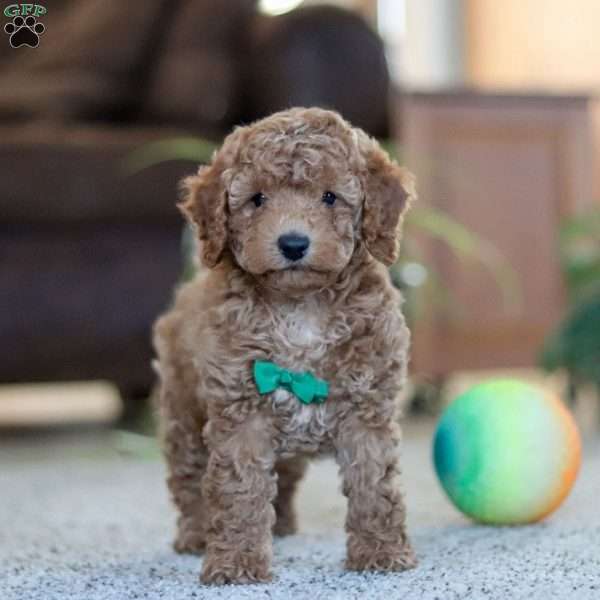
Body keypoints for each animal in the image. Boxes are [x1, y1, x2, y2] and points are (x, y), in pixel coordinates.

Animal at [154, 105, 418, 584]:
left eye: (330, 197)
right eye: (257, 199)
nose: (293, 243)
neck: (301, 309)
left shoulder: (368, 408)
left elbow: (375, 486)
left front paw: (381, 553)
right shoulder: (241, 413)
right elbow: (239, 490)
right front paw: (236, 563)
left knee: (285, 478)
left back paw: (283, 525)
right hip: (183, 410)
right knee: (188, 477)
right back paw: (196, 534)